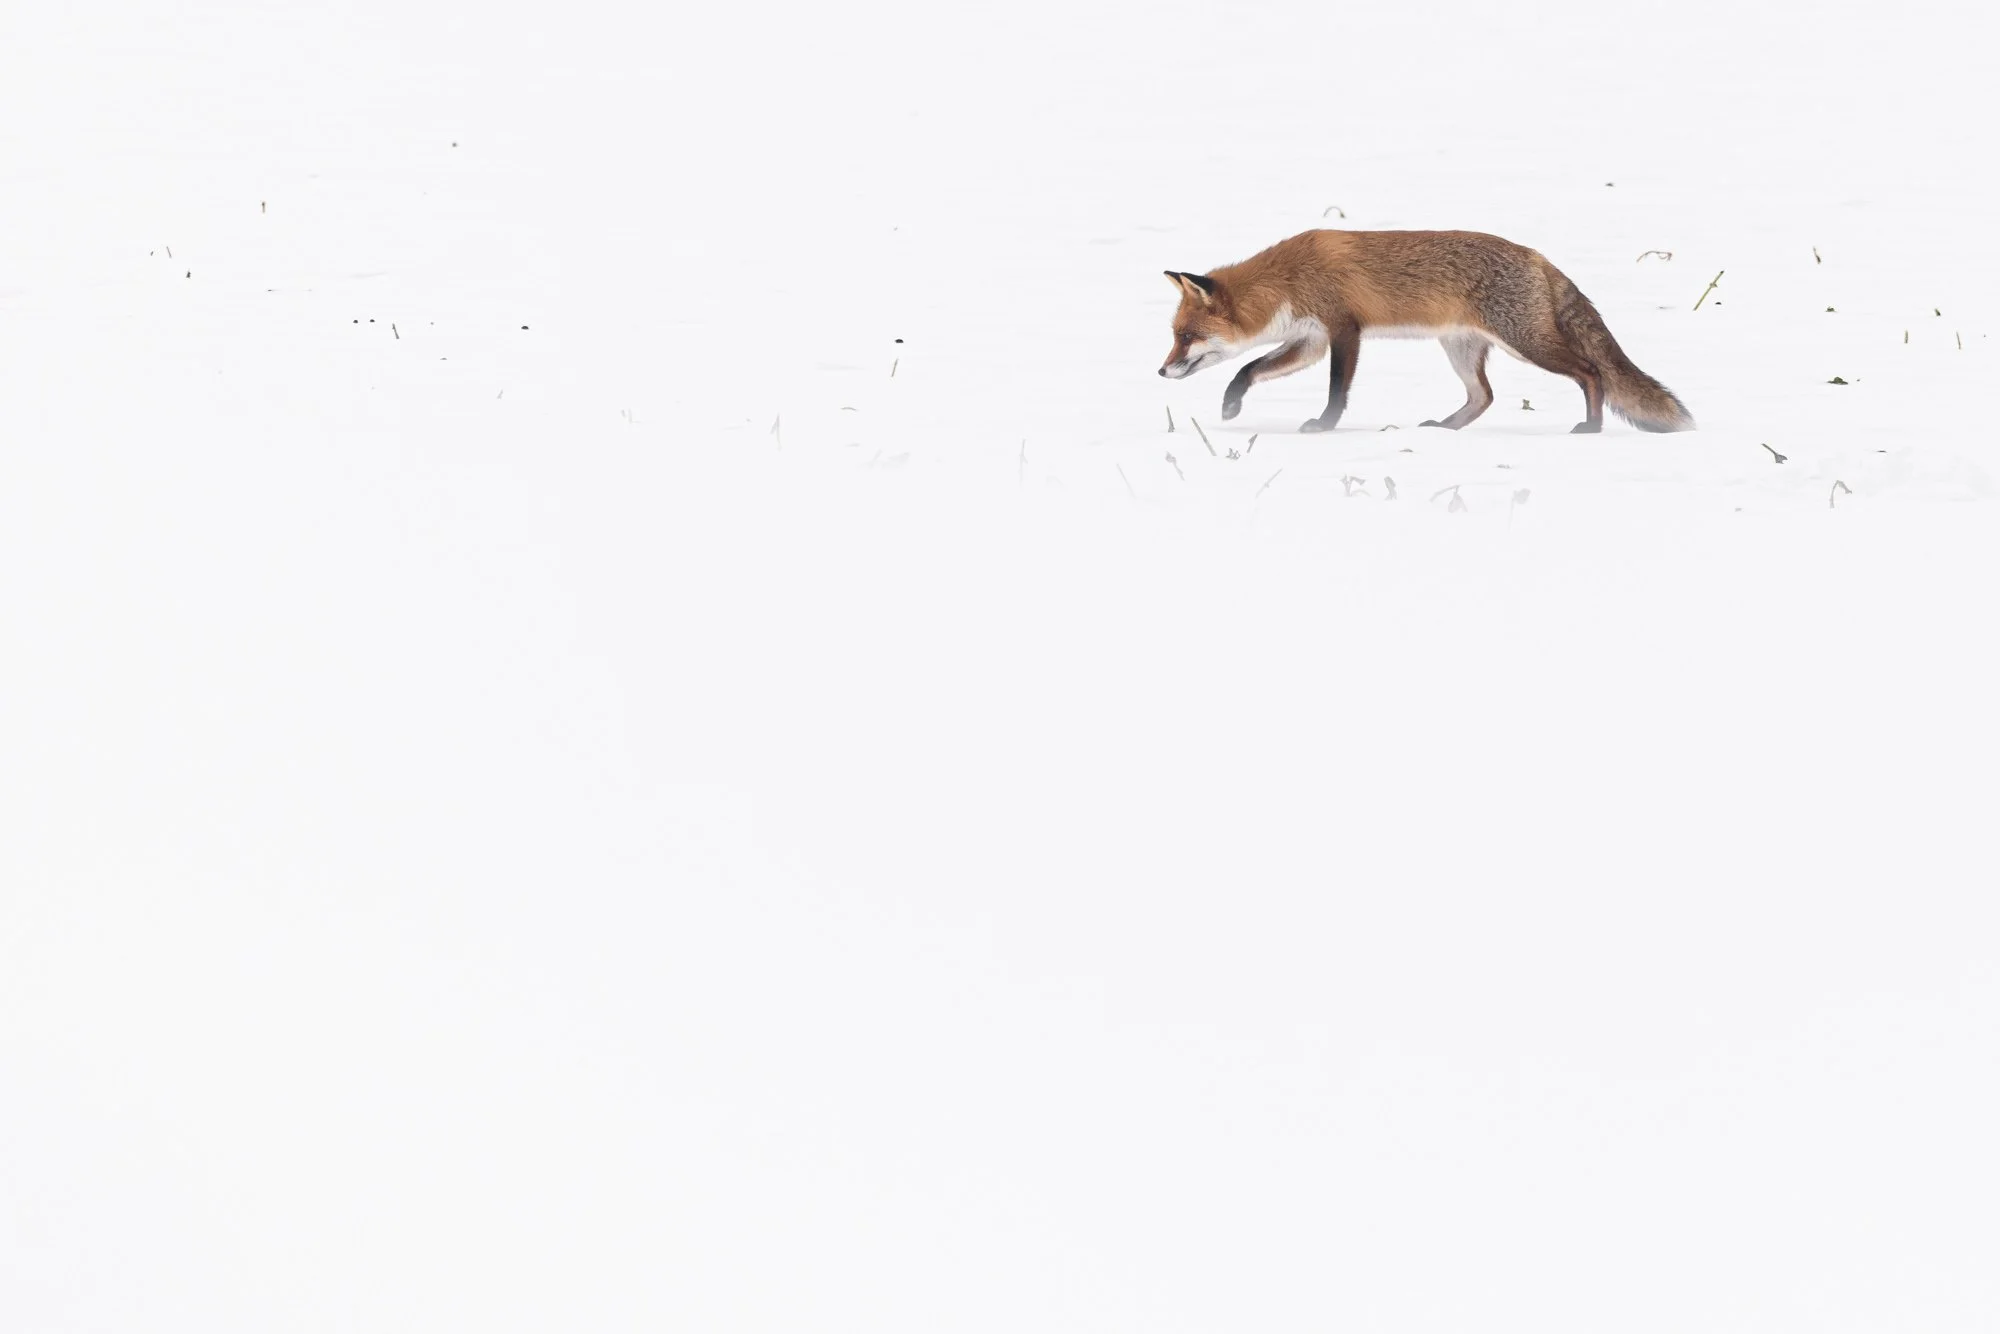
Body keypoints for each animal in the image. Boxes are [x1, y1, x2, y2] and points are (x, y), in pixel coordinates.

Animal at [1159, 229, 1693, 435]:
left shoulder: (1343, 329)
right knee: (1484, 397)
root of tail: (1538, 256)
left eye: (1185, 336)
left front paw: (1326, 426)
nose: (1161, 371)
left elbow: (1336, 389)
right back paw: (1448, 428)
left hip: (1526, 343)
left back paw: (1592, 427)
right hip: (1461, 348)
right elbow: (1249, 368)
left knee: (1590, 373)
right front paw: (1231, 405)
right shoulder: (1309, 339)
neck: (1287, 281)